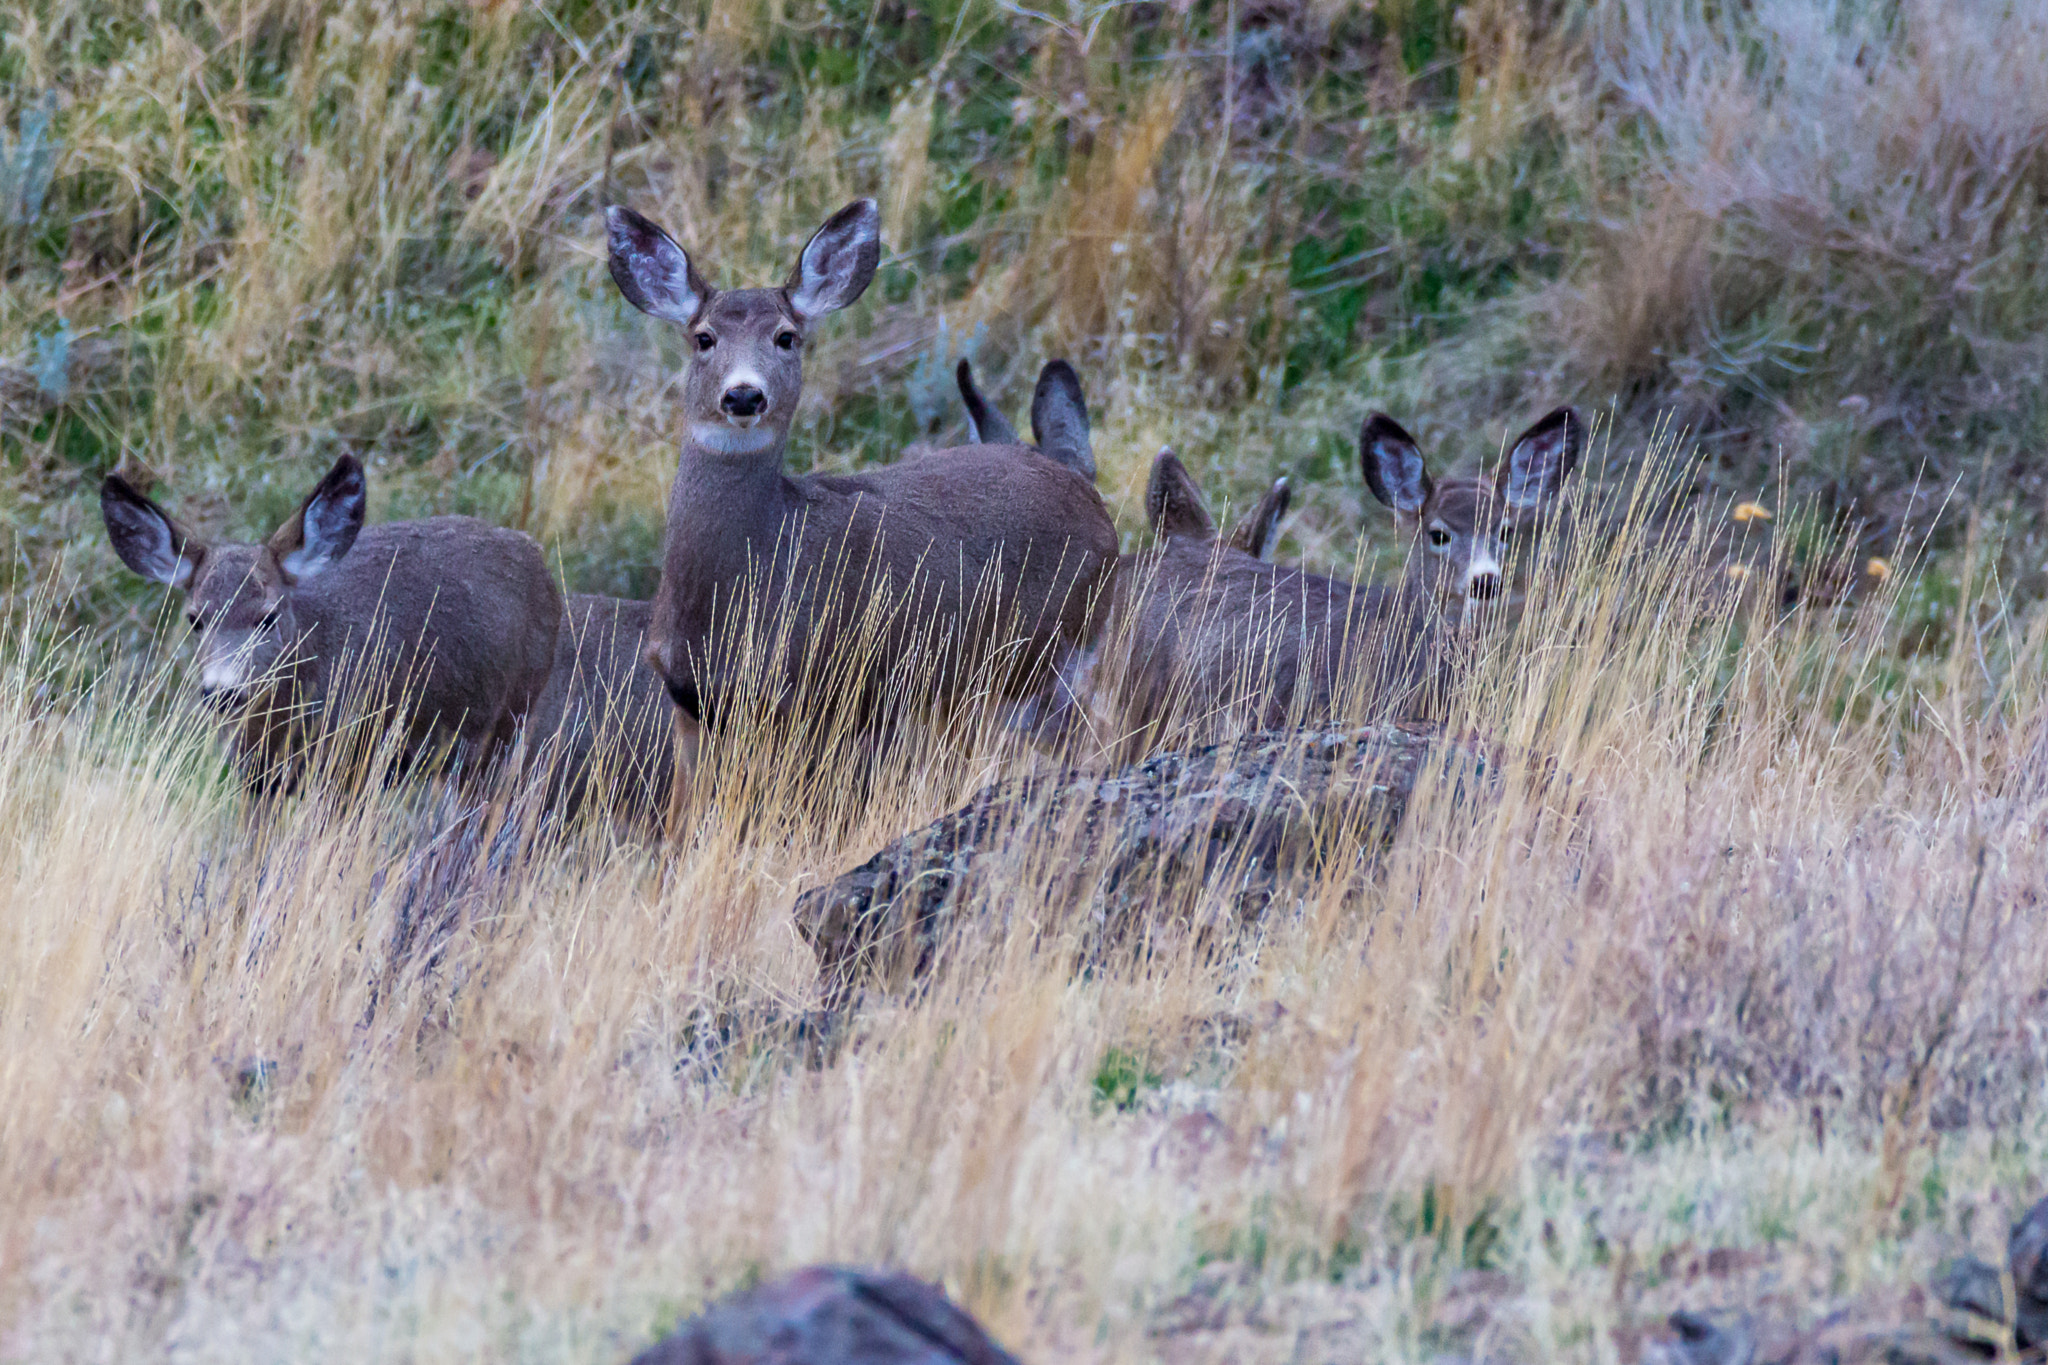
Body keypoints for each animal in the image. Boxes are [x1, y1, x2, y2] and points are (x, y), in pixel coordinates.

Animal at [100, 454, 562, 786]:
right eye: (196, 619)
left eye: (268, 617)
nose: (223, 692)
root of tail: (539, 558)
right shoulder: (256, 775)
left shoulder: (352, 757)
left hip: (506, 722)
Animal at [605, 200, 1118, 754]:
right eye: (703, 338)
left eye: (786, 337)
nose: (743, 395)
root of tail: (1088, 494)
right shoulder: (689, 702)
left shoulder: (824, 693)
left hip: (1055, 654)